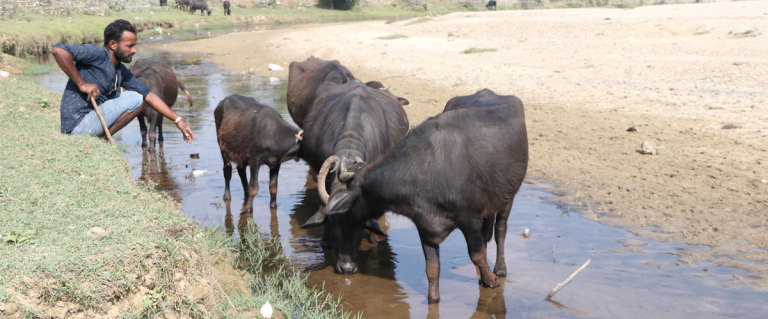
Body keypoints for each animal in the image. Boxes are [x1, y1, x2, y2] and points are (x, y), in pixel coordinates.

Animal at [302, 89, 528, 304]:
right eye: (332, 224)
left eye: (355, 224)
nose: (347, 268)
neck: (428, 174)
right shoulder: (425, 226)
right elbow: (432, 268)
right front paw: (433, 300)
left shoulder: (469, 219)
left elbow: (477, 255)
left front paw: (490, 281)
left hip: (509, 195)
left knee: (500, 229)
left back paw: (500, 268)